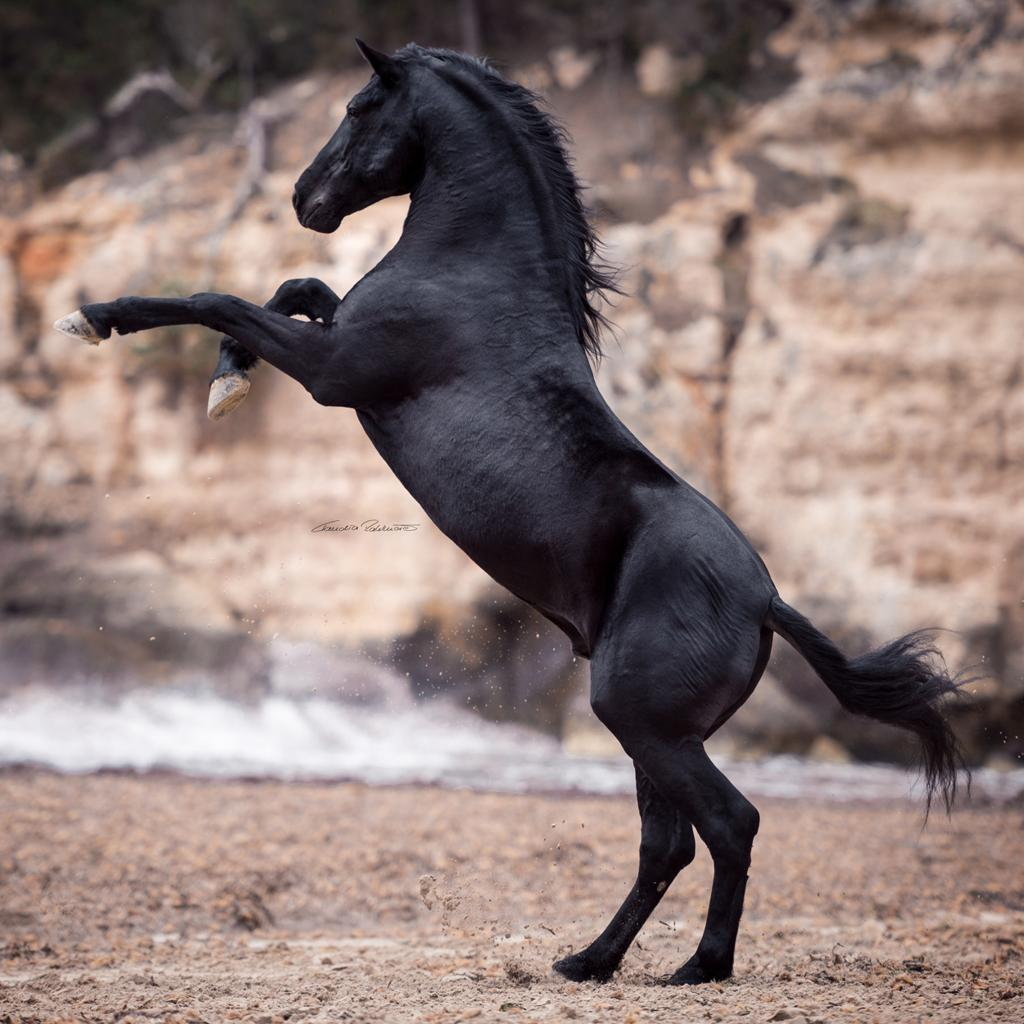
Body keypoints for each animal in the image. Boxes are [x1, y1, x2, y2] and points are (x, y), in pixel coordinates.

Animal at [54, 40, 964, 986]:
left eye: (358, 107)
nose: (304, 198)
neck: (476, 272)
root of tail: (766, 601)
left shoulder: (334, 371)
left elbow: (218, 298)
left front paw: (97, 318)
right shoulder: (332, 338)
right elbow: (292, 285)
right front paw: (226, 381)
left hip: (642, 721)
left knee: (727, 825)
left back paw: (699, 966)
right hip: (656, 735)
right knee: (668, 844)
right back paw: (588, 961)